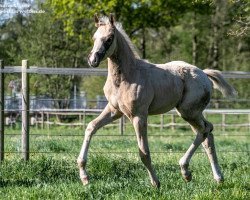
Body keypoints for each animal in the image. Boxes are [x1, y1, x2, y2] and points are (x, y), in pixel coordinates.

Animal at [77, 14, 237, 188]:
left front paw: (156, 182)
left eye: (109, 38)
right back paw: (216, 177)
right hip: (193, 114)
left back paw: (185, 170)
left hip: (188, 112)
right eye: (94, 37)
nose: (93, 60)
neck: (127, 76)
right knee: (207, 135)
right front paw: (84, 176)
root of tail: (204, 74)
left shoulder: (139, 116)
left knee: (206, 129)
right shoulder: (115, 111)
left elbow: (143, 152)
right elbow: (91, 127)